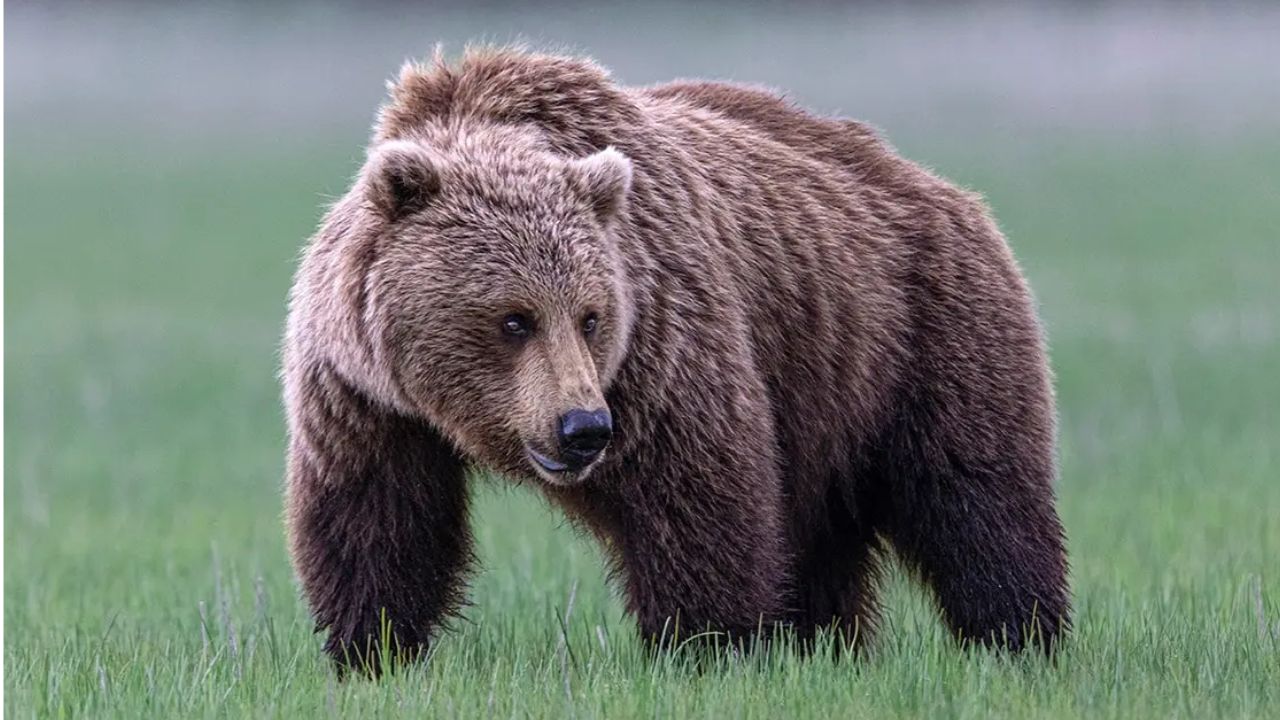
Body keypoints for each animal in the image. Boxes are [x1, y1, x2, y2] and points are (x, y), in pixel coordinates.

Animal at [282, 47, 1070, 673]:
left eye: (591, 316)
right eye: (513, 318)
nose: (582, 428)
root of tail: (941, 187)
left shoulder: (661, 343)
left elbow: (697, 494)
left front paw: (706, 646)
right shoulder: (363, 396)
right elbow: (378, 520)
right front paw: (370, 649)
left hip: (920, 332)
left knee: (976, 496)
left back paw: (1020, 637)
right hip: (824, 394)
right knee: (822, 534)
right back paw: (823, 643)